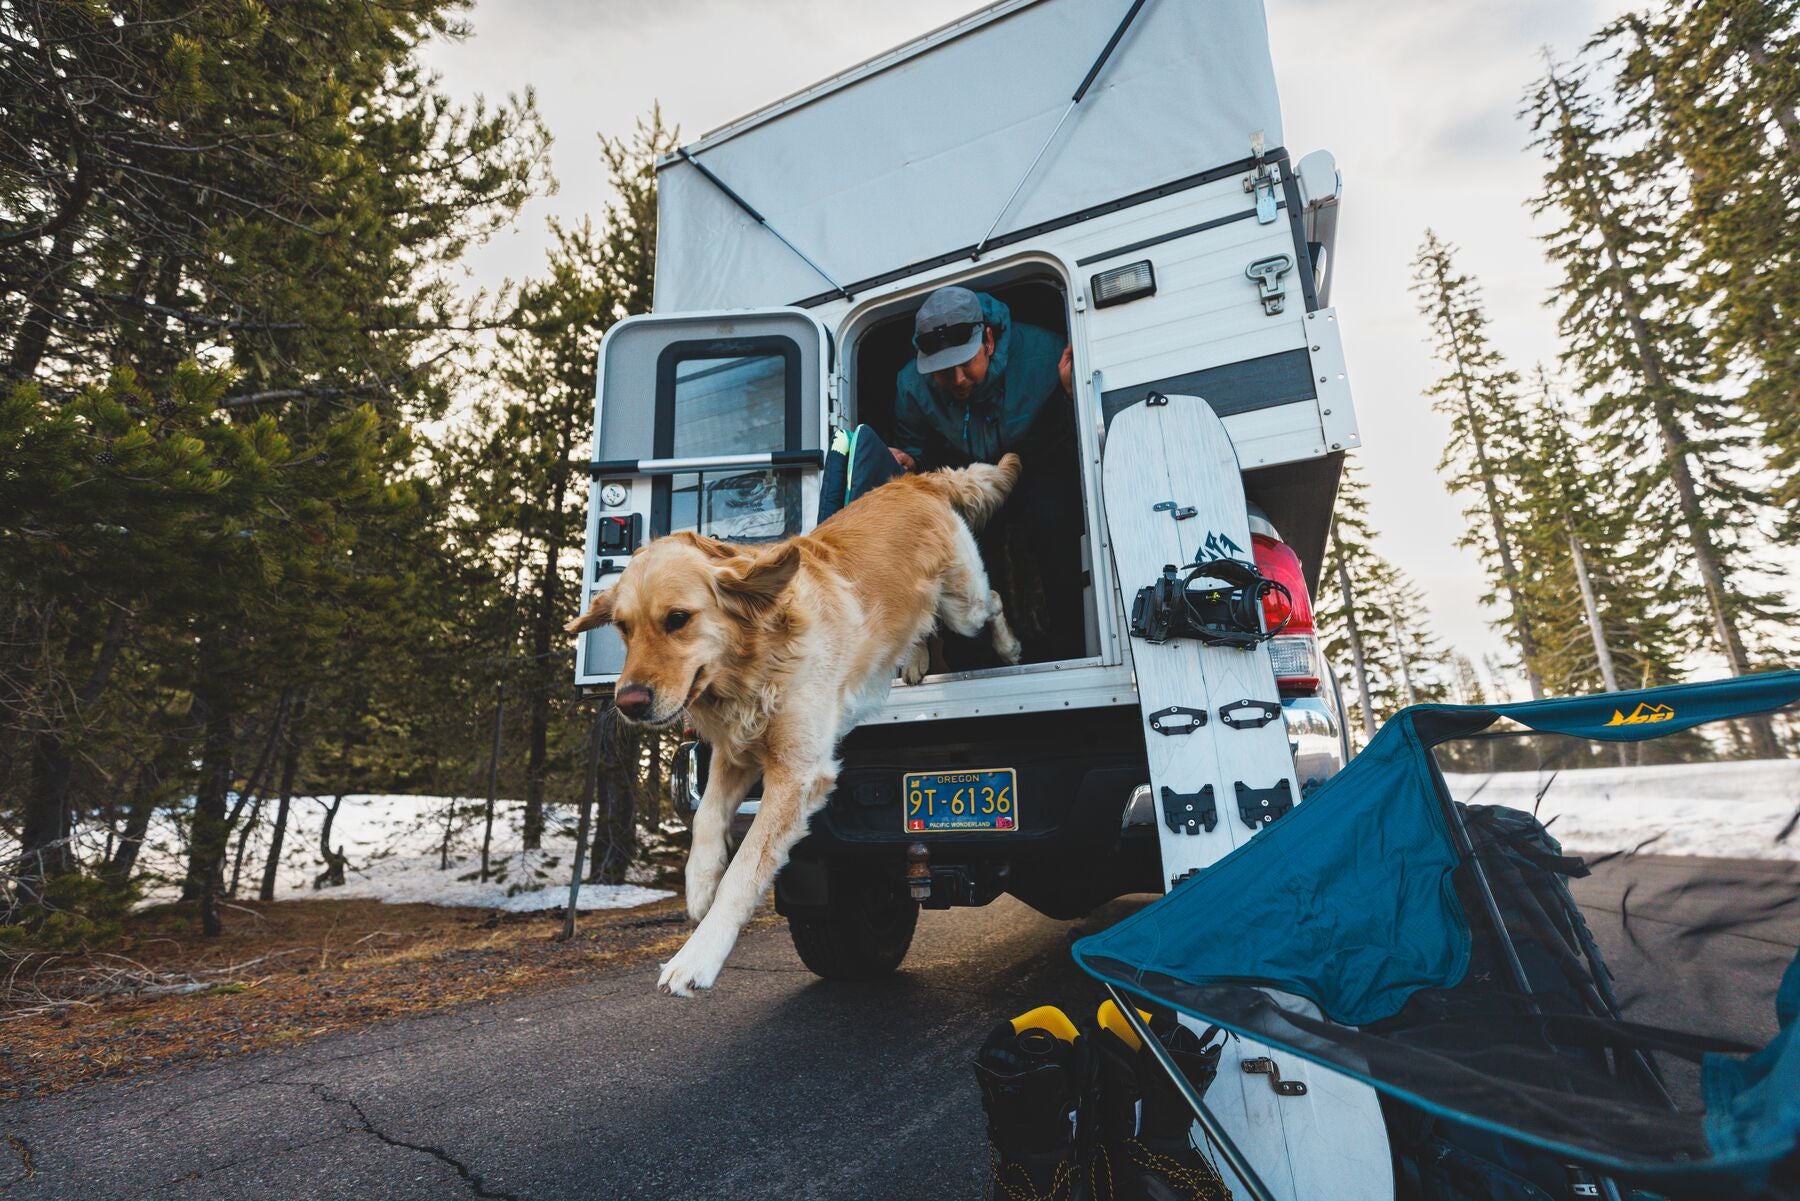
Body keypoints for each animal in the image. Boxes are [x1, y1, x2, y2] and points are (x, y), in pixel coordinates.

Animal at [568, 453, 1022, 993]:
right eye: (622, 627)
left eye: (677, 619)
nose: (629, 702)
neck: (755, 662)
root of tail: (913, 481)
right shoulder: (735, 753)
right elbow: (705, 817)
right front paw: (698, 885)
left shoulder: (796, 774)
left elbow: (745, 870)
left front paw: (698, 955)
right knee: (921, 626)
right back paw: (913, 661)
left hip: (963, 604)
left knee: (992, 603)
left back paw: (1009, 648)